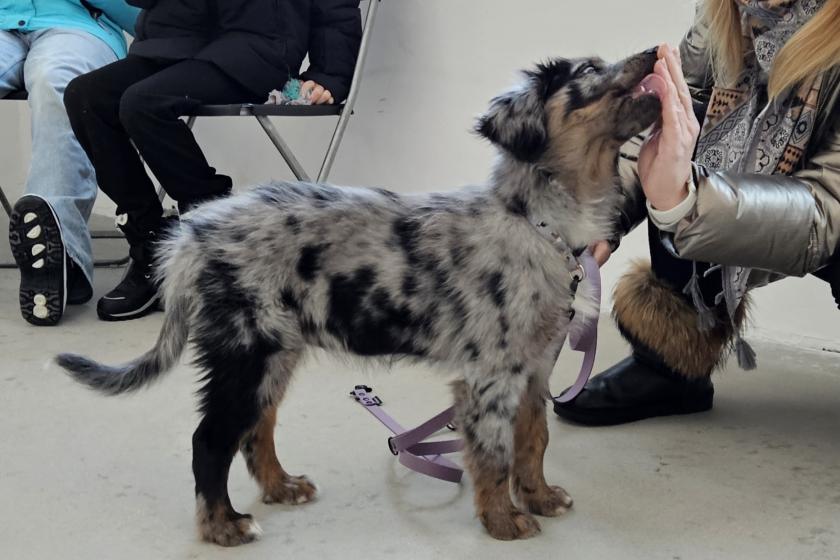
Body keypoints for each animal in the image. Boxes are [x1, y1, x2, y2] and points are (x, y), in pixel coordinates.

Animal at [57, 48, 661, 545]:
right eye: (588, 70)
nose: (655, 54)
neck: (539, 222)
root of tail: (190, 236)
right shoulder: (492, 374)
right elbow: (494, 452)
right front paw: (503, 520)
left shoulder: (534, 368)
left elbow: (534, 440)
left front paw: (538, 496)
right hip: (244, 352)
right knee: (210, 439)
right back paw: (222, 526)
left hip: (274, 352)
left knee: (257, 428)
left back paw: (281, 487)